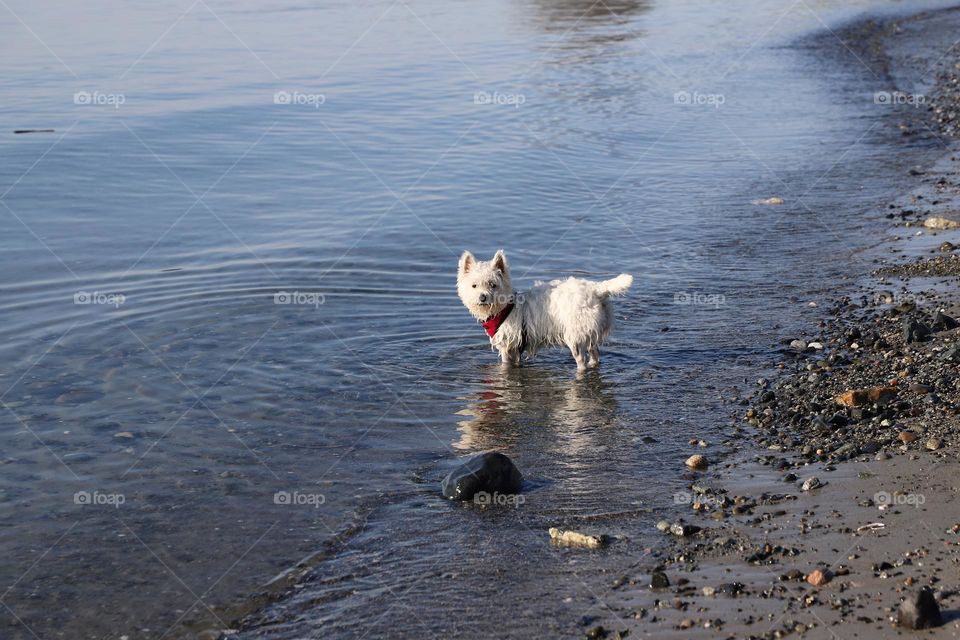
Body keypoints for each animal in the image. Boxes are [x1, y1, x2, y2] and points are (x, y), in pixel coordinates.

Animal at [458, 250, 632, 370]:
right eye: (474, 285)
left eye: (492, 285)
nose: (482, 297)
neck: (504, 308)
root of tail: (596, 290)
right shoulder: (516, 349)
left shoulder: (507, 346)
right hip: (589, 331)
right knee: (595, 355)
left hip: (574, 336)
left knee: (581, 361)